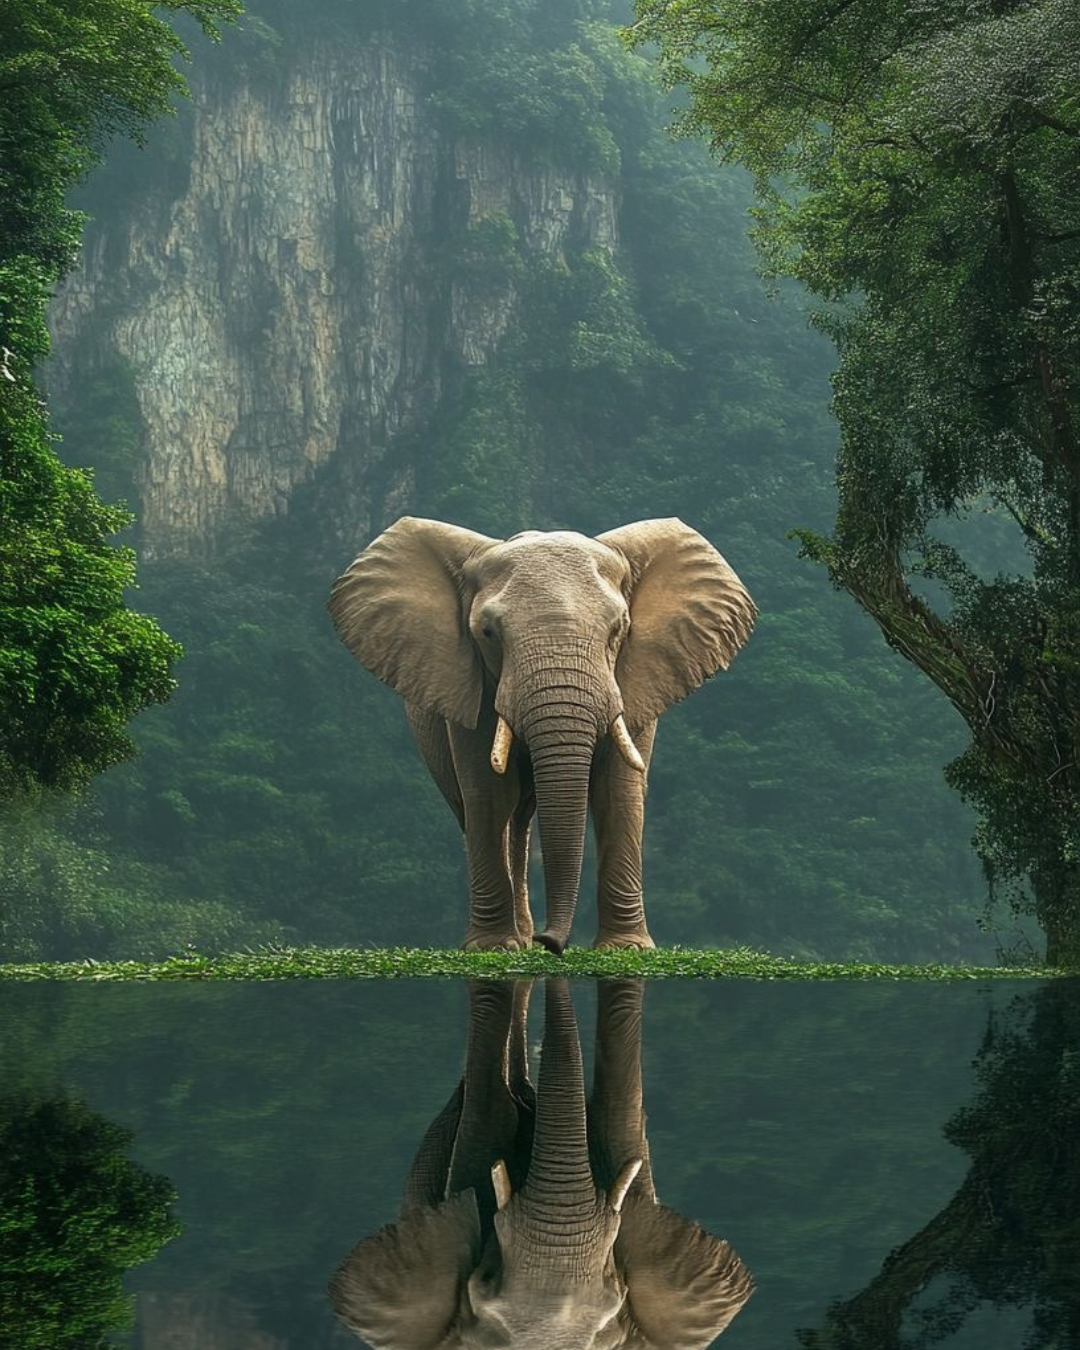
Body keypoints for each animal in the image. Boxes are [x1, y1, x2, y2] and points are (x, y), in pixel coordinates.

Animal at [328, 517, 755, 952]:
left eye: (618, 629)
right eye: (488, 633)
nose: (549, 941)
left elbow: (618, 790)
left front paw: (627, 948)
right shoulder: (470, 686)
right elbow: (487, 792)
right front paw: (492, 948)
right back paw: (515, 940)